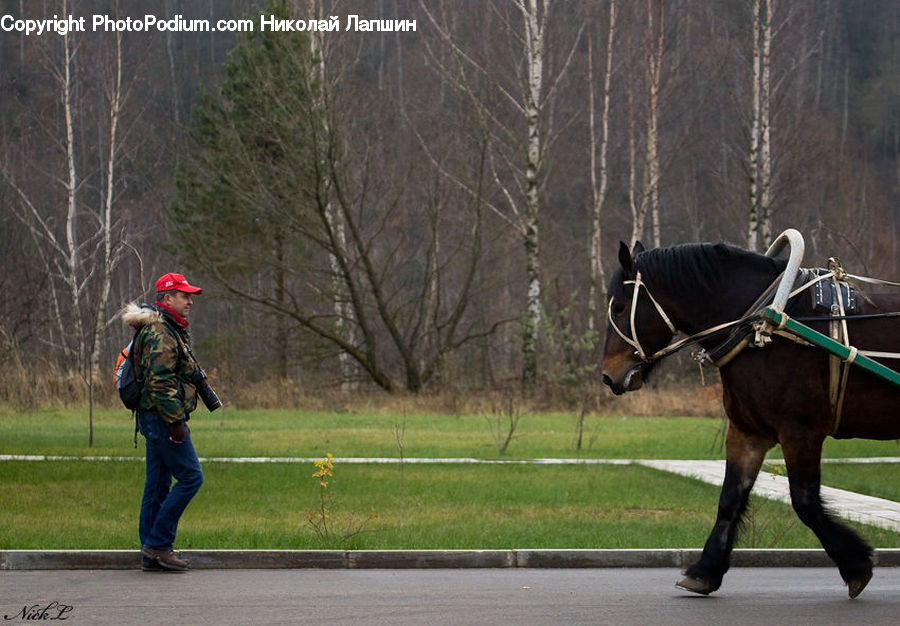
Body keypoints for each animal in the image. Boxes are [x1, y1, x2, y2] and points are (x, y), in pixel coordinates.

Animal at [601, 238, 900, 598]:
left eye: (620, 307)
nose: (608, 375)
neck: (763, 324)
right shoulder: (747, 432)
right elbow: (731, 497)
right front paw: (705, 570)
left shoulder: (800, 432)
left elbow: (806, 503)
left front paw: (856, 565)